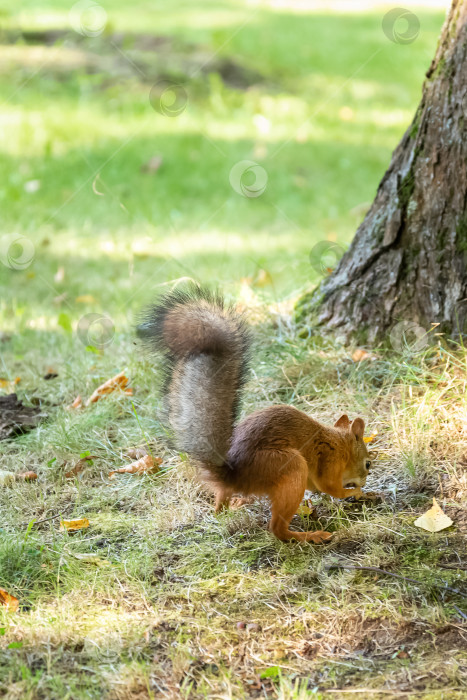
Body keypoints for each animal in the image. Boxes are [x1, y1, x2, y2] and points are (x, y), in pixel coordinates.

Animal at [141, 284, 374, 540]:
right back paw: (306, 536)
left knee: (220, 507)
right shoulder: (328, 463)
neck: (339, 443)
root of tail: (235, 475)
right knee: (277, 529)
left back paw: (234, 506)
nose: (365, 479)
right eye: (367, 464)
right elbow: (330, 488)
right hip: (289, 466)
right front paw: (356, 492)